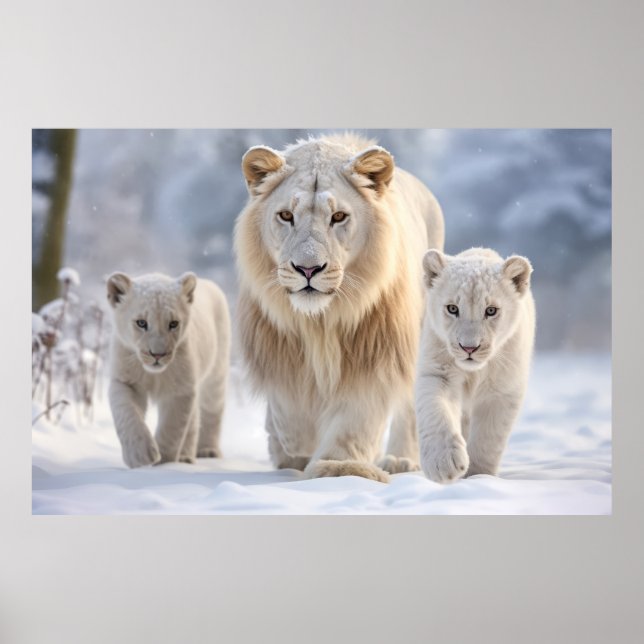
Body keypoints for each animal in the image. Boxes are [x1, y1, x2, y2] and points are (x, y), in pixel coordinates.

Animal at [106, 271, 230, 468]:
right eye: (141, 323)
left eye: (173, 324)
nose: (157, 354)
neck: (153, 375)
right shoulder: (124, 381)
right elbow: (127, 415)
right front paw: (141, 456)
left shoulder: (181, 389)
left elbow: (171, 429)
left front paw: (163, 464)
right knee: (194, 420)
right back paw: (186, 456)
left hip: (216, 375)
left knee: (211, 411)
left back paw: (206, 451)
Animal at [234, 134, 444, 482]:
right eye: (286, 216)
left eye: (338, 217)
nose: (308, 268)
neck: (319, 320)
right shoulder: (278, 346)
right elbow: (289, 409)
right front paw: (296, 445)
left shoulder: (374, 353)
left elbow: (355, 421)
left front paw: (337, 467)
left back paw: (399, 459)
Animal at [416, 247, 536, 483]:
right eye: (452, 308)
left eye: (491, 310)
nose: (469, 348)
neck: (474, 374)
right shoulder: (437, 373)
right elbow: (435, 412)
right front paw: (444, 464)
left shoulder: (503, 390)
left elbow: (488, 437)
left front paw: (478, 477)